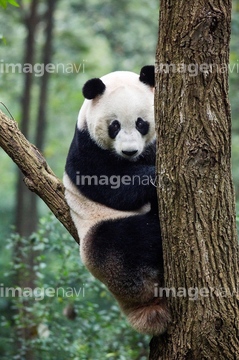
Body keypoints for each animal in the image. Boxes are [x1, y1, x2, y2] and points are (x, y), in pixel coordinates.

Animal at [63, 64, 170, 334]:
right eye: (115, 126)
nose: (129, 151)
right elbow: (113, 187)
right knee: (127, 239)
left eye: (141, 123)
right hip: (100, 237)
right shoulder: (87, 150)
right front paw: (154, 176)